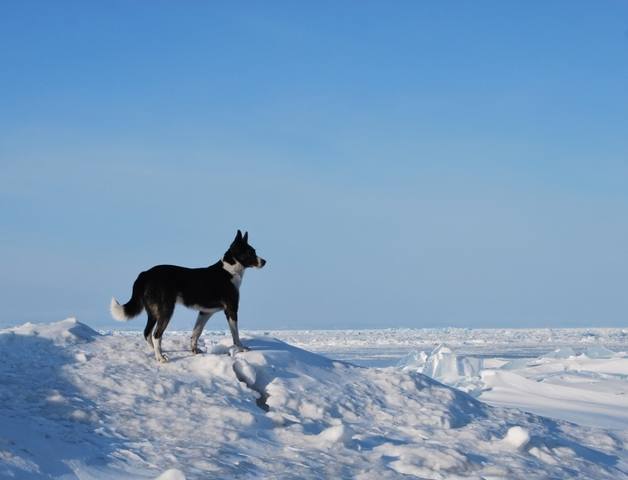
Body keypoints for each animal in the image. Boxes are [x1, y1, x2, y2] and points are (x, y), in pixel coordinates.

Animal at [110, 231, 264, 362]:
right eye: (251, 252)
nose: (264, 261)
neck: (230, 270)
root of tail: (145, 274)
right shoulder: (231, 309)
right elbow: (235, 334)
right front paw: (241, 348)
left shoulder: (205, 312)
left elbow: (196, 332)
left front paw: (194, 350)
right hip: (166, 311)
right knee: (156, 335)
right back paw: (160, 358)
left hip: (153, 312)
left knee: (147, 333)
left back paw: (158, 352)